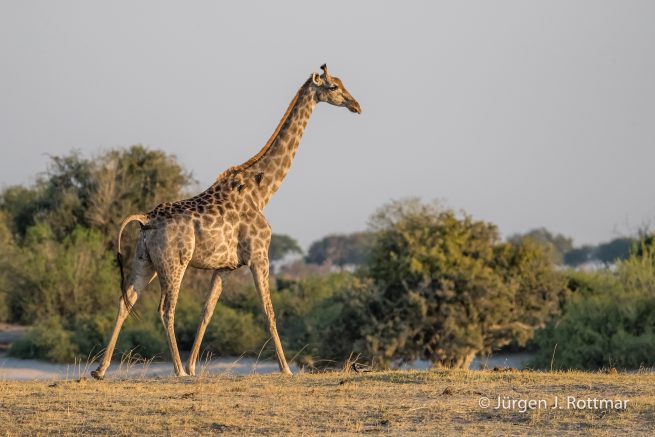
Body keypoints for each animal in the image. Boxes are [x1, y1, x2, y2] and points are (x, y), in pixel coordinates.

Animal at [91, 64, 361, 379]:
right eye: (333, 87)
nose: (356, 105)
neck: (262, 191)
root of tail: (145, 219)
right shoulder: (259, 255)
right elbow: (268, 312)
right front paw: (285, 369)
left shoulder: (225, 267)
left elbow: (207, 311)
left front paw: (194, 366)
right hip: (174, 262)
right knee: (165, 309)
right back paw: (178, 371)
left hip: (144, 260)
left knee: (126, 300)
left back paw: (101, 370)